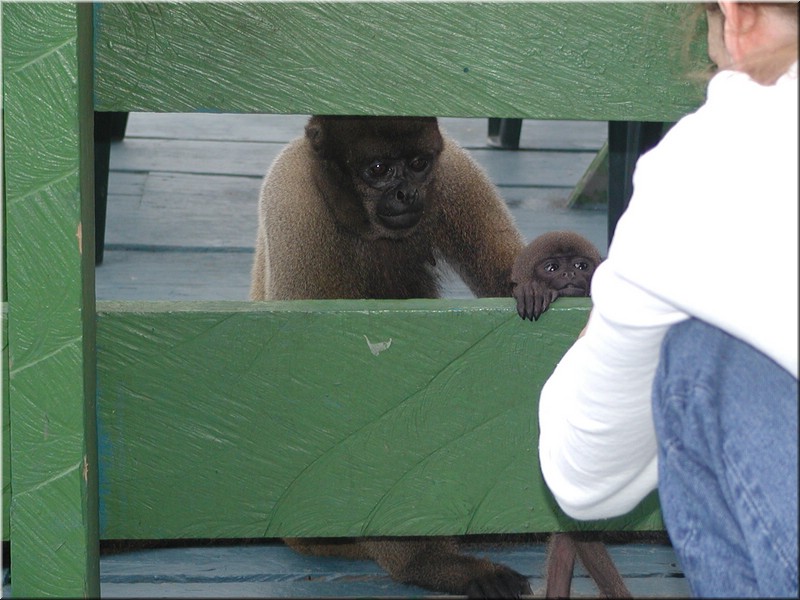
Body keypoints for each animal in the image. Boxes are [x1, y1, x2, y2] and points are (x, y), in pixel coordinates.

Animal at [250, 115, 531, 598]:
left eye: (418, 164)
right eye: (378, 169)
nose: (407, 193)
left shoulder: (452, 172)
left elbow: (505, 279)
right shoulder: (294, 202)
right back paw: (424, 564)